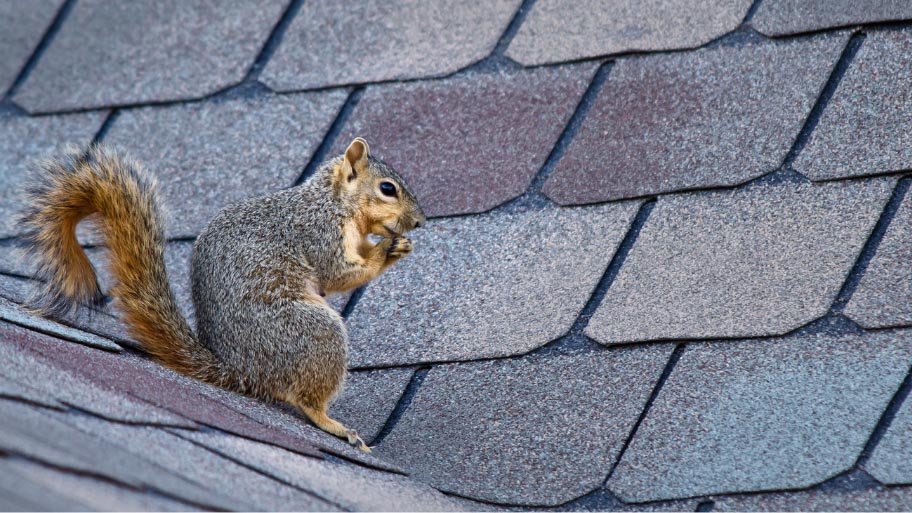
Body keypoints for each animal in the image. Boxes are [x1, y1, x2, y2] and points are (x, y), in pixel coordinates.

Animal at [20, 138, 428, 450]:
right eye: (387, 188)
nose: (421, 221)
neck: (333, 201)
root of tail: (240, 371)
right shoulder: (318, 232)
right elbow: (338, 272)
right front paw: (386, 251)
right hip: (313, 331)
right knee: (307, 399)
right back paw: (333, 423)